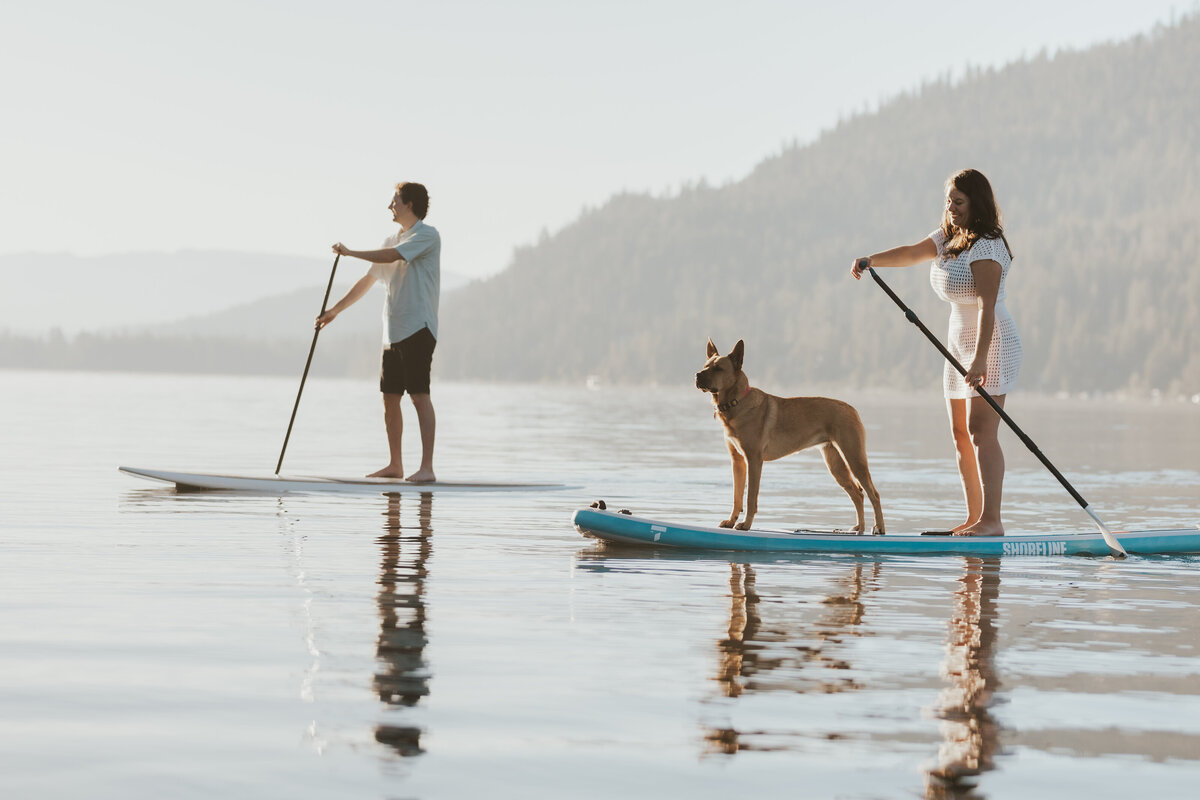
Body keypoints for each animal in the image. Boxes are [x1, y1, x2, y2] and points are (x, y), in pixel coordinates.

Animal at [696, 338, 883, 532]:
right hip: (836, 464)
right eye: (705, 366)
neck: (736, 401)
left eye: (718, 368)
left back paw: (879, 528)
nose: (697, 375)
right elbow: (737, 496)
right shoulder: (738, 461)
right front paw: (731, 521)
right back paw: (859, 527)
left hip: (854, 458)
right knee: (858, 495)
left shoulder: (754, 460)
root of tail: (852, 409)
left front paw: (746, 524)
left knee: (874, 494)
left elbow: (750, 498)